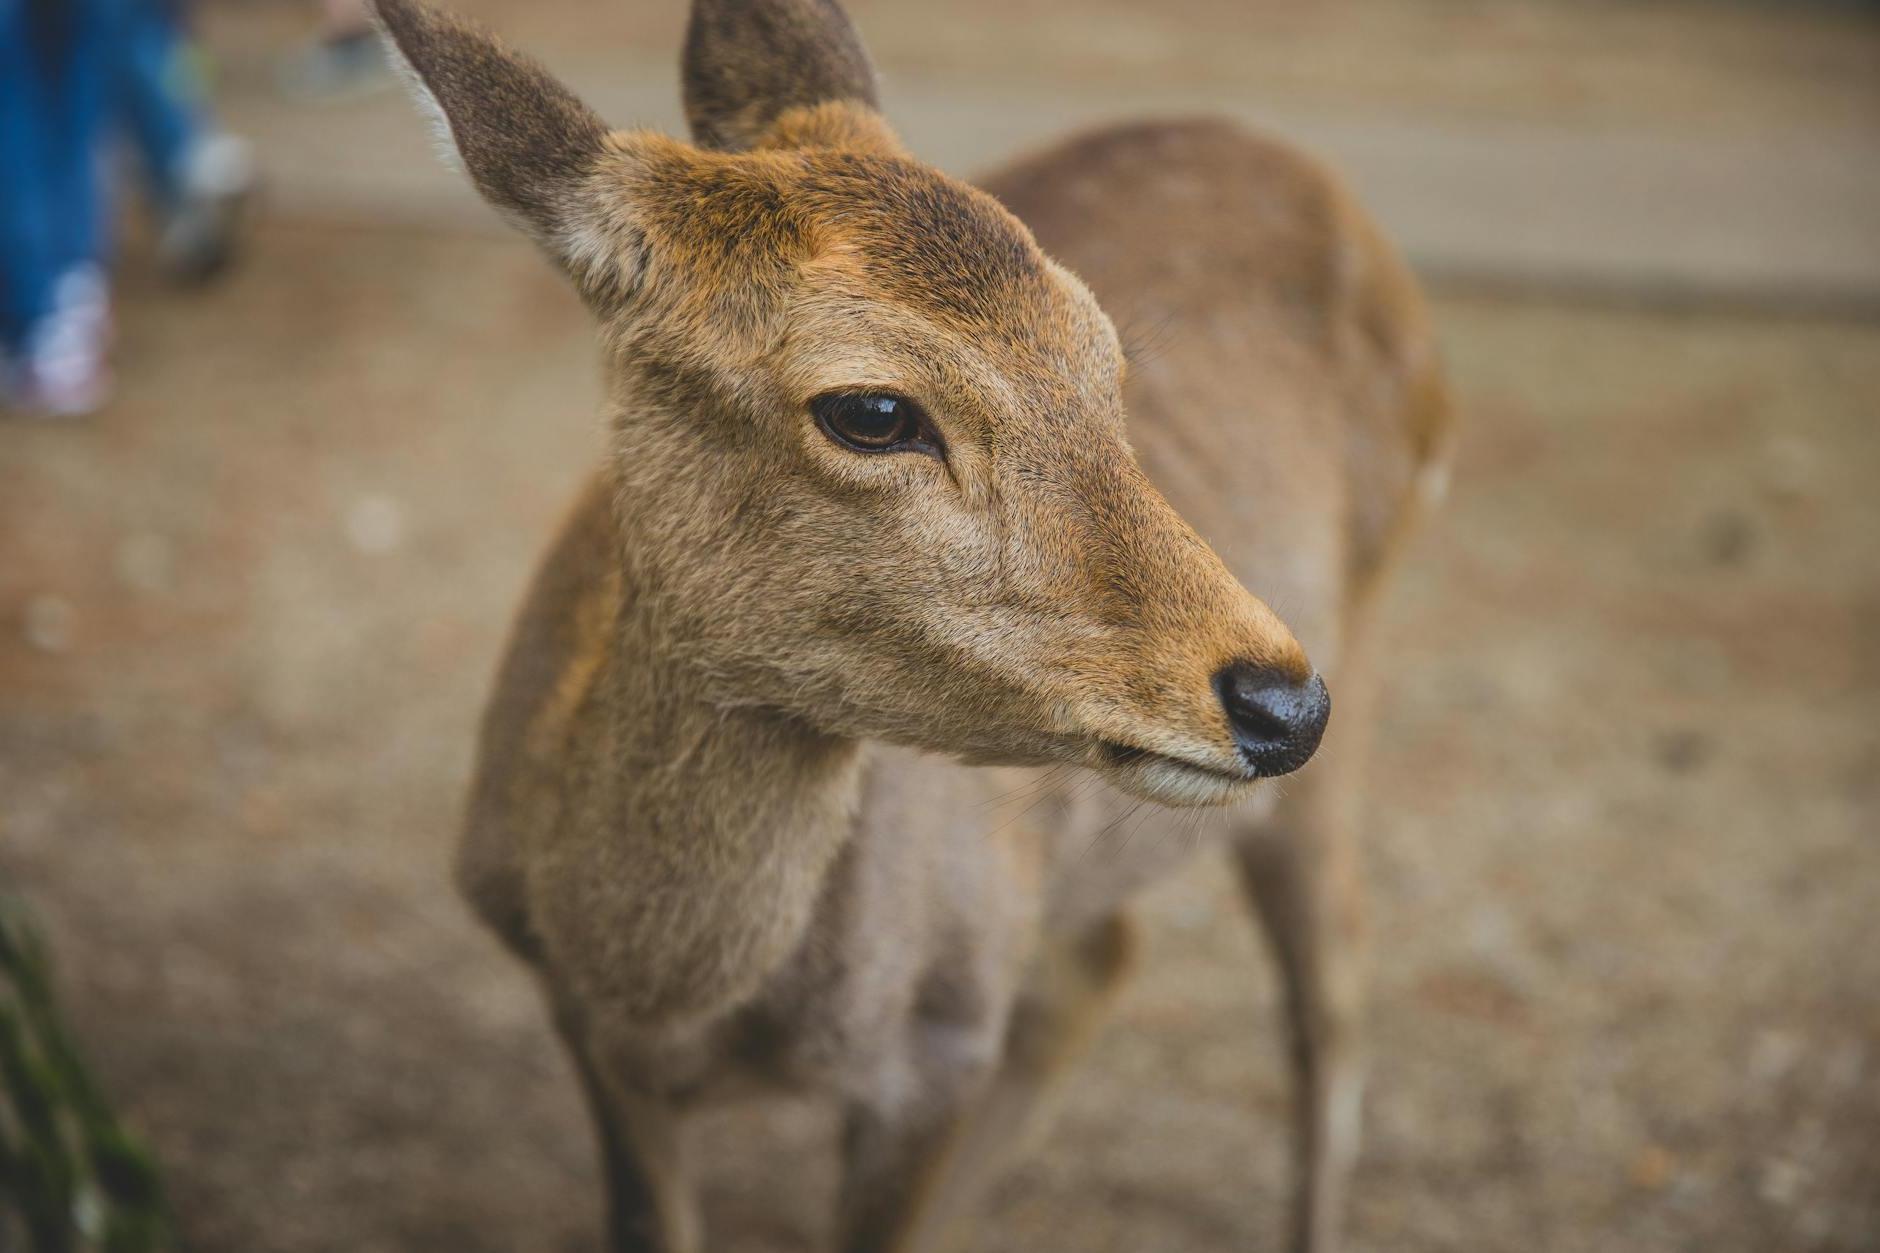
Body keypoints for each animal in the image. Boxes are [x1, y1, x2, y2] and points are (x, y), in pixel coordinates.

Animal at [370, 2, 1451, 1249]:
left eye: (1104, 360)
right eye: (872, 409)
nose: (1278, 699)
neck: (658, 986)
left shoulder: (938, 1038)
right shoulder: (583, 1027)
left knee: (1332, 990)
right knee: (1106, 954)